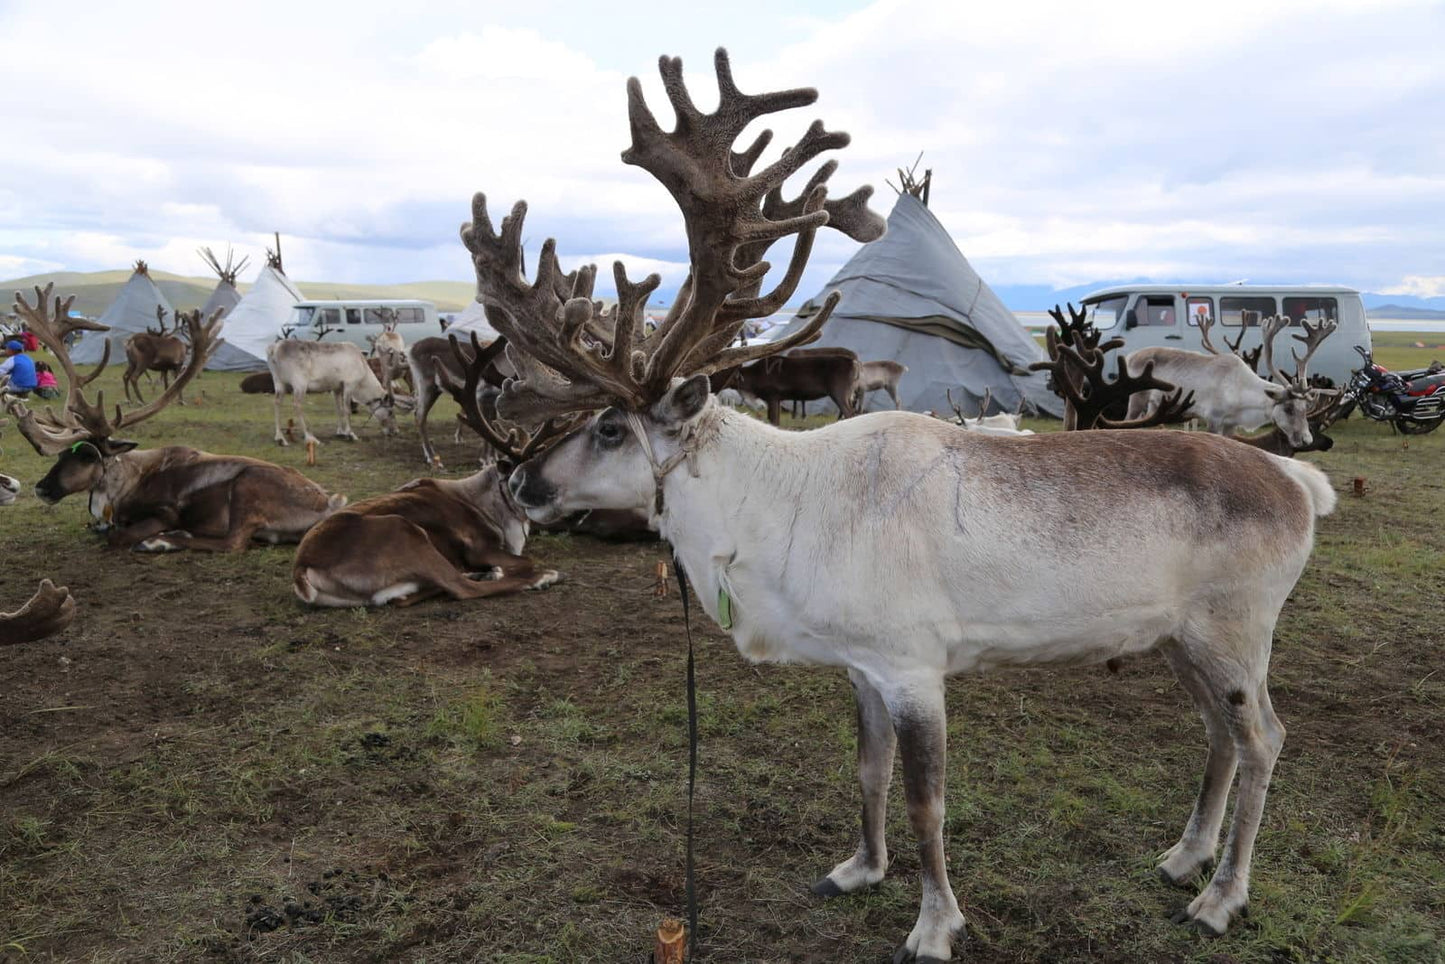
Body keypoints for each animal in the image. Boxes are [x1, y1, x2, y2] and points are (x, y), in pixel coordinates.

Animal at [5, 285, 346, 553]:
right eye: (62, 454)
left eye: (88, 456)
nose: (41, 488)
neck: (121, 485)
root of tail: (329, 504)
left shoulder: (166, 511)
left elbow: (117, 536)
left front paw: (149, 535)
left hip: (247, 486)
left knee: (233, 542)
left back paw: (162, 541)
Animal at [267, 339, 403, 446]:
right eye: (391, 411)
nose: (395, 431)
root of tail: (273, 350)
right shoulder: (349, 384)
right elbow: (347, 410)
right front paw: (351, 434)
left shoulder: (336, 388)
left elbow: (339, 409)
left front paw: (341, 432)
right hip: (300, 383)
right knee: (296, 405)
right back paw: (310, 437)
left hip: (278, 382)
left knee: (277, 402)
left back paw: (280, 438)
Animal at [293, 335, 565, 607]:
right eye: (520, 476)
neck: (493, 506)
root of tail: (302, 570)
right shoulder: (479, 547)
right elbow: (524, 559)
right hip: (406, 531)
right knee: (460, 587)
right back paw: (538, 576)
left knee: (408, 595)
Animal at [460, 51, 1336, 960]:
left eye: (607, 428)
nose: (522, 483)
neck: (776, 514)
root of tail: (1296, 483)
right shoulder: (862, 664)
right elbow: (866, 770)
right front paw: (858, 868)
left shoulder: (916, 667)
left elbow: (926, 802)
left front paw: (934, 923)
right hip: (1179, 639)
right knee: (1218, 735)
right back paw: (1183, 858)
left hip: (1236, 629)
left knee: (1263, 738)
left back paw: (1220, 897)